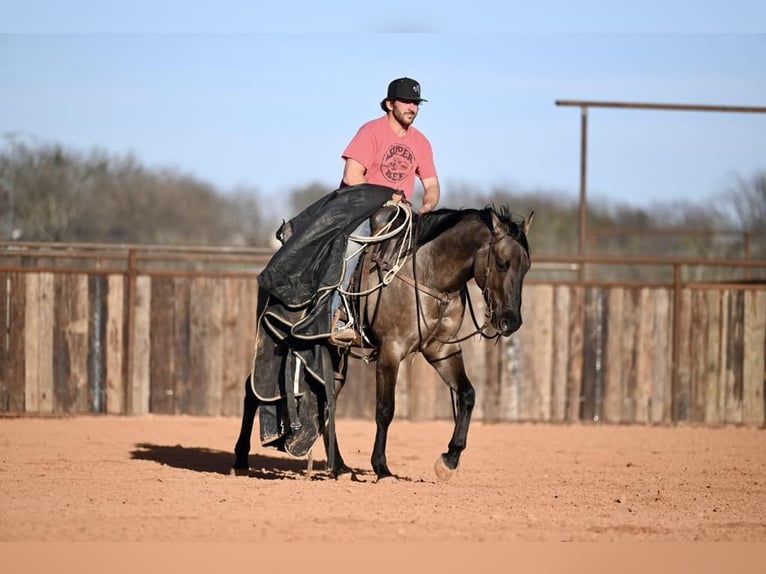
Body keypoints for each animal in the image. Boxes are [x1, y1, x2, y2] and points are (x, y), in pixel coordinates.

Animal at [234, 205, 536, 484]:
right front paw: (382, 468)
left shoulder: (442, 349)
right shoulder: (391, 350)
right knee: (253, 388)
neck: (429, 274)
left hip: (334, 354)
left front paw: (449, 460)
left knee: (328, 401)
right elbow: (385, 410)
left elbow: (467, 395)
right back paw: (240, 459)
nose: (511, 321)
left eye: (527, 267)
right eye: (502, 263)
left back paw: (340, 468)